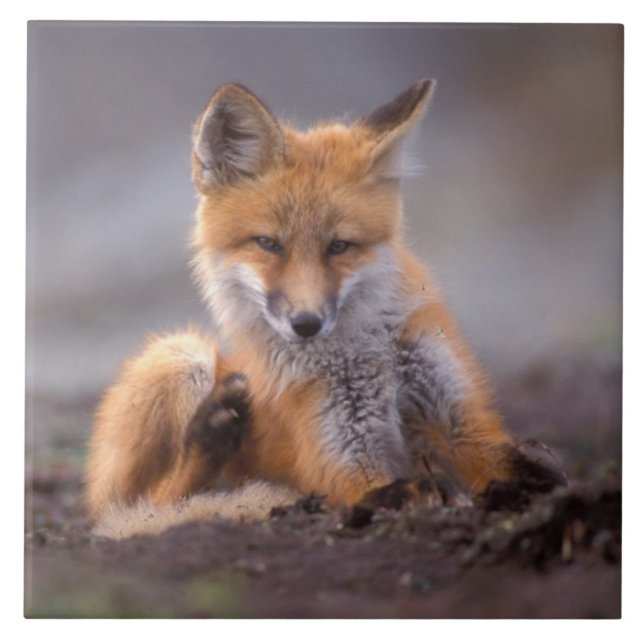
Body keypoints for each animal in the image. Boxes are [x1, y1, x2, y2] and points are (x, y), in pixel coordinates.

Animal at [86, 79, 565, 538]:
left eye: (339, 247)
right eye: (268, 244)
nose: (306, 323)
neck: (367, 354)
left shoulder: (464, 423)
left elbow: (527, 466)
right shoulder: (344, 460)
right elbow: (393, 490)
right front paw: (434, 492)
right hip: (180, 356)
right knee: (145, 505)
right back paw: (210, 438)